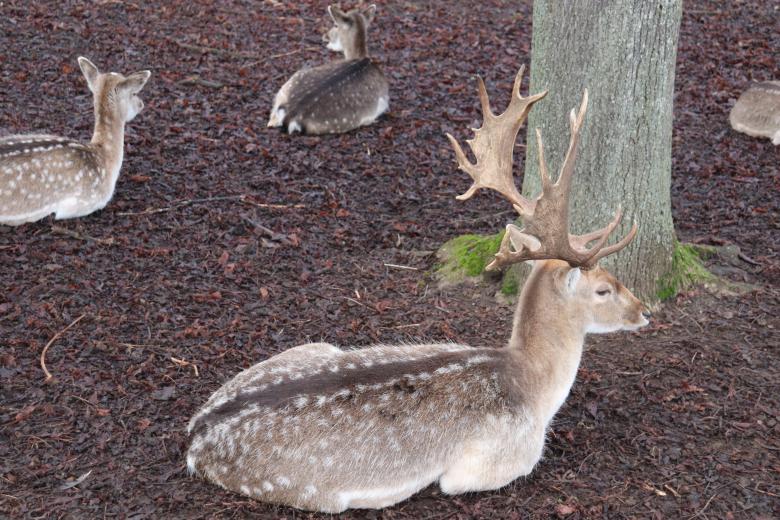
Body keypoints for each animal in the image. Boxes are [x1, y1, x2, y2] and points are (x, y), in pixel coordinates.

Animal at [187, 65, 650, 513]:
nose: (645, 310)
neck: (532, 390)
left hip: (313, 345)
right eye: (604, 289)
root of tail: (194, 439)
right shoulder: (491, 462)